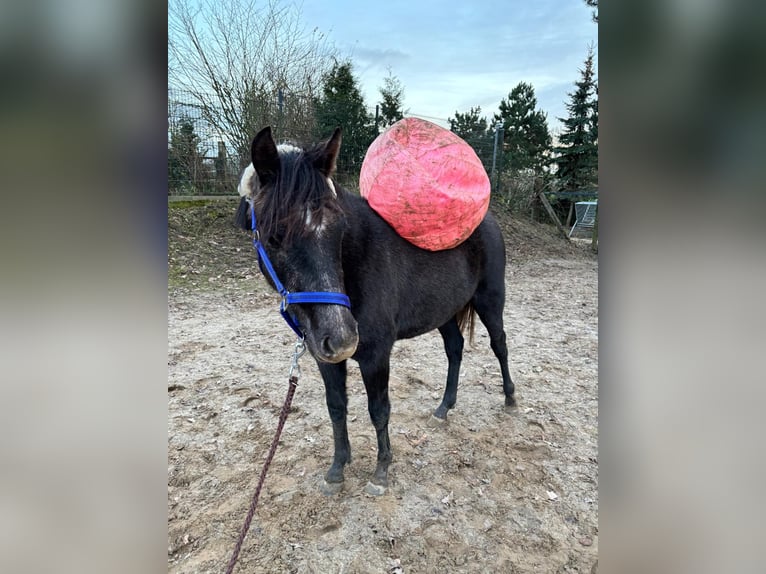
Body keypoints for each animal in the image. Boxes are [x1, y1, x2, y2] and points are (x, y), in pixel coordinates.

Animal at [237, 128, 520, 498]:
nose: (343, 338)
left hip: (490, 300)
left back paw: (510, 399)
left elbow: (379, 410)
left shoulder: (375, 355)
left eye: (339, 231)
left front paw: (381, 471)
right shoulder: (324, 357)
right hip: (444, 312)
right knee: (455, 349)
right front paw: (337, 469)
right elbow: (336, 407)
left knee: (499, 344)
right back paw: (444, 408)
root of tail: (488, 220)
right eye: (273, 238)